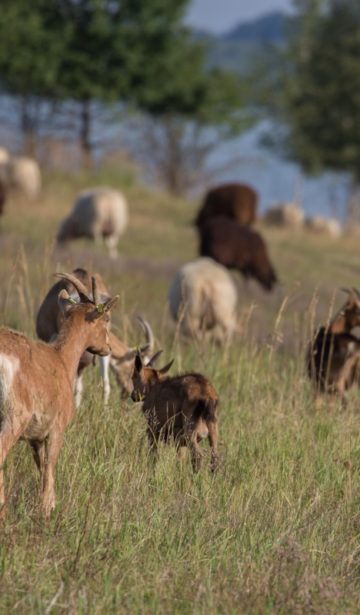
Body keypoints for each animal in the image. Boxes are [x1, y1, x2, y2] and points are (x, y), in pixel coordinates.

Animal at [0, 272, 117, 516]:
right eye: (106, 318)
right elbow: (49, 470)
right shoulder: (55, 431)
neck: (60, 359)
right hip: (12, 420)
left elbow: (42, 471)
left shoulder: (35, 439)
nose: (107, 348)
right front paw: (47, 511)